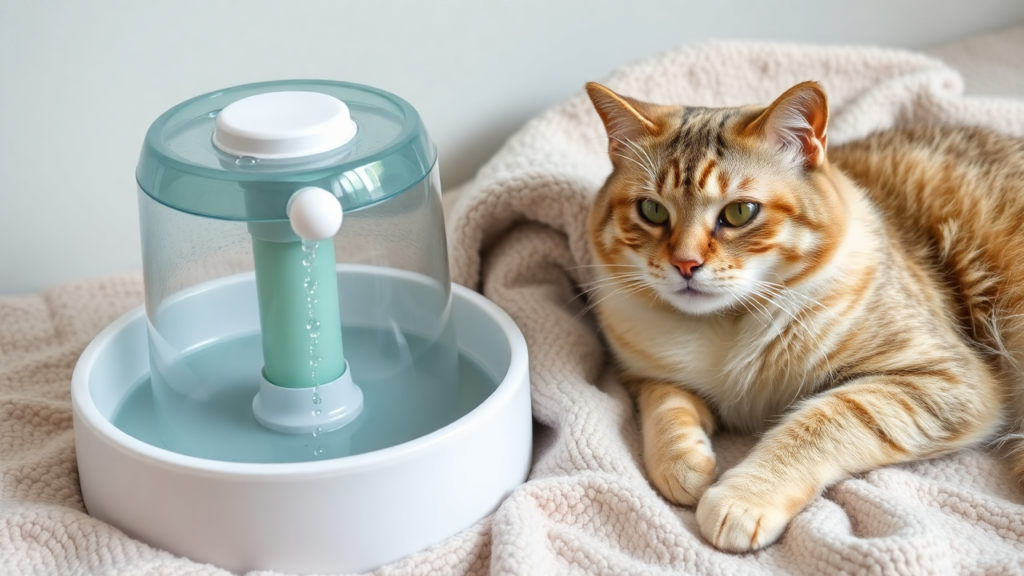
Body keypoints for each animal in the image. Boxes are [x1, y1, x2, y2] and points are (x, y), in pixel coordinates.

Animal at [581, 80, 1024, 553]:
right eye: (652, 211)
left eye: (739, 213)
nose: (685, 264)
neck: (728, 323)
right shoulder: (642, 373)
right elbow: (665, 404)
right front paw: (682, 463)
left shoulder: (942, 378)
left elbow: (820, 421)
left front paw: (743, 498)